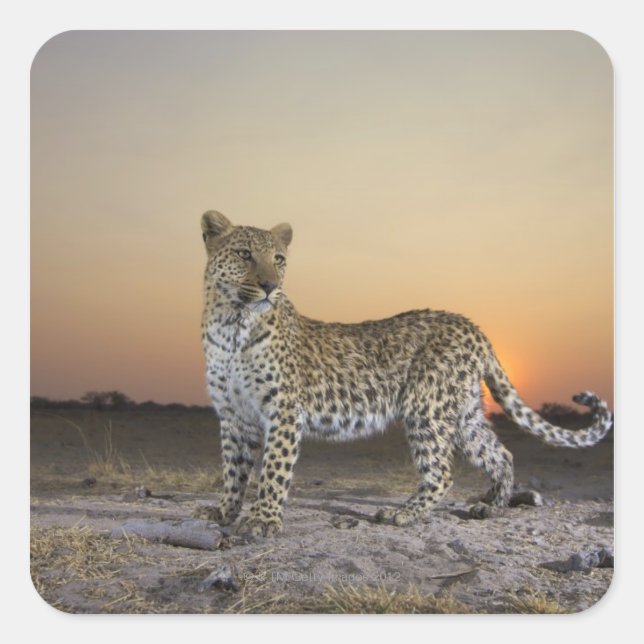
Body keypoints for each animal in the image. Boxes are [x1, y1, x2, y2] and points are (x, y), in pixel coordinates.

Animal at [193, 210, 613, 537]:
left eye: (278, 259)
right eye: (245, 254)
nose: (270, 286)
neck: (231, 325)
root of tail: (472, 325)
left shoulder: (282, 411)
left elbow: (273, 470)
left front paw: (263, 521)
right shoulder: (233, 414)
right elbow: (233, 467)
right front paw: (223, 511)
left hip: (425, 406)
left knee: (442, 470)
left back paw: (403, 513)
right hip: (462, 411)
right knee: (500, 452)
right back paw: (491, 506)